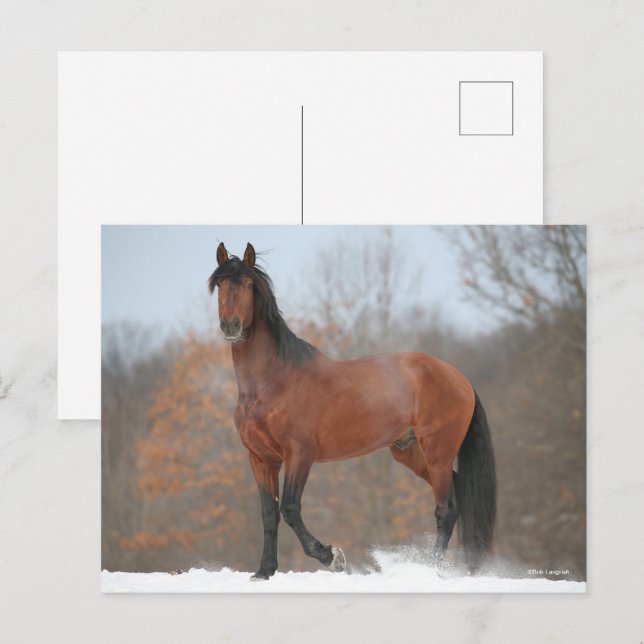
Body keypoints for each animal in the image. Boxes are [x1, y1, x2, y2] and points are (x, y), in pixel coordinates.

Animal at [209, 242, 496, 580]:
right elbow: (269, 514)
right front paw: (265, 571)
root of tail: (460, 379)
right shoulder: (261, 459)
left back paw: (431, 568)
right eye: (220, 285)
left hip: (437, 452)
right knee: (461, 494)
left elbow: (290, 508)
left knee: (446, 509)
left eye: (249, 284)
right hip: (411, 453)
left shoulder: (300, 454)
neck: (272, 381)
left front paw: (332, 557)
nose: (231, 326)